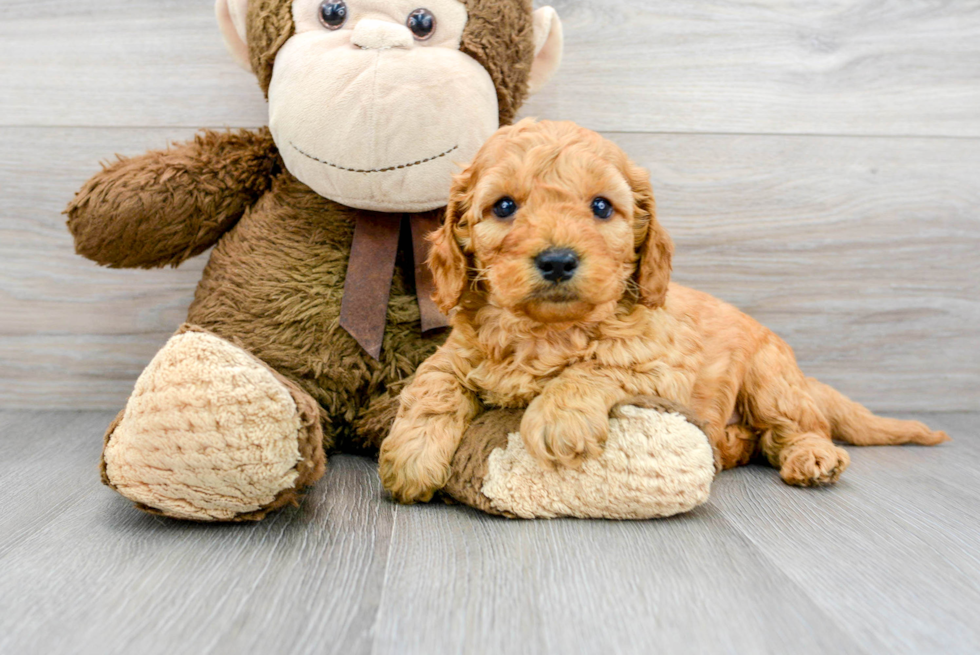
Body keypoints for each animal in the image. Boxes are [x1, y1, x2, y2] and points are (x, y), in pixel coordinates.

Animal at [378, 120, 948, 504]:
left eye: (601, 206)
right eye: (503, 207)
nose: (558, 260)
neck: (548, 331)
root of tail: (803, 377)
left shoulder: (659, 367)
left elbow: (594, 367)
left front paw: (560, 417)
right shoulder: (457, 354)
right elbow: (431, 386)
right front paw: (410, 457)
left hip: (770, 380)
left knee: (800, 427)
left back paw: (812, 457)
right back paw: (731, 444)